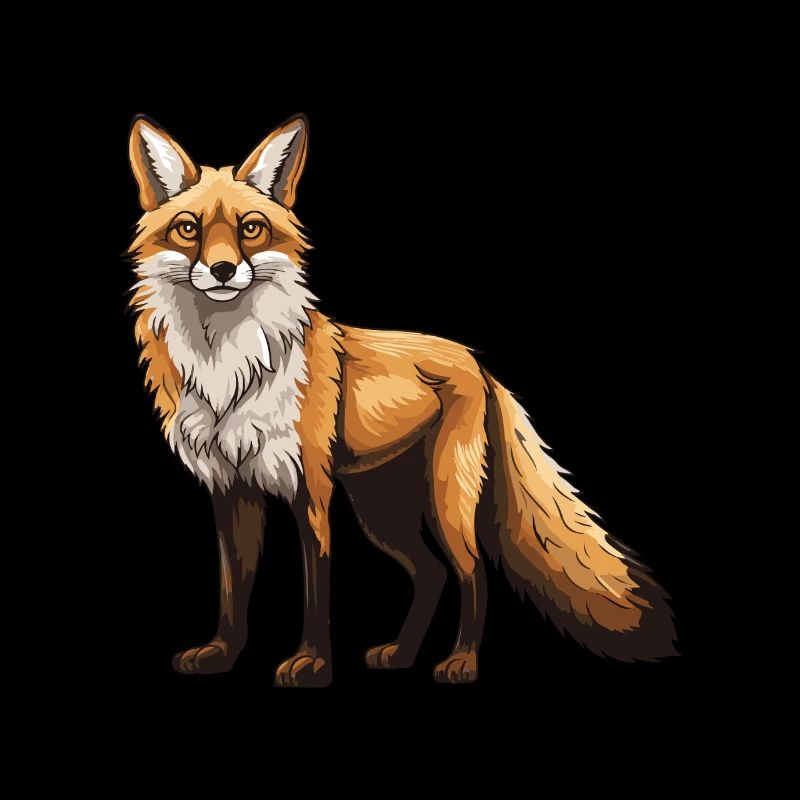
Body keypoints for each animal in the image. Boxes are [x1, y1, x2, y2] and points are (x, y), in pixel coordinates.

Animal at [127, 113, 676, 686]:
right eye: (188, 229)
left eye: (251, 229)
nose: (223, 271)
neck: (229, 372)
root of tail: (477, 361)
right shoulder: (229, 489)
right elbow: (233, 589)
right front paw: (222, 654)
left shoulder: (311, 491)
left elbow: (317, 587)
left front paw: (313, 663)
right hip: (381, 511)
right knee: (432, 574)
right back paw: (401, 655)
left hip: (445, 500)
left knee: (473, 572)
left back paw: (462, 662)